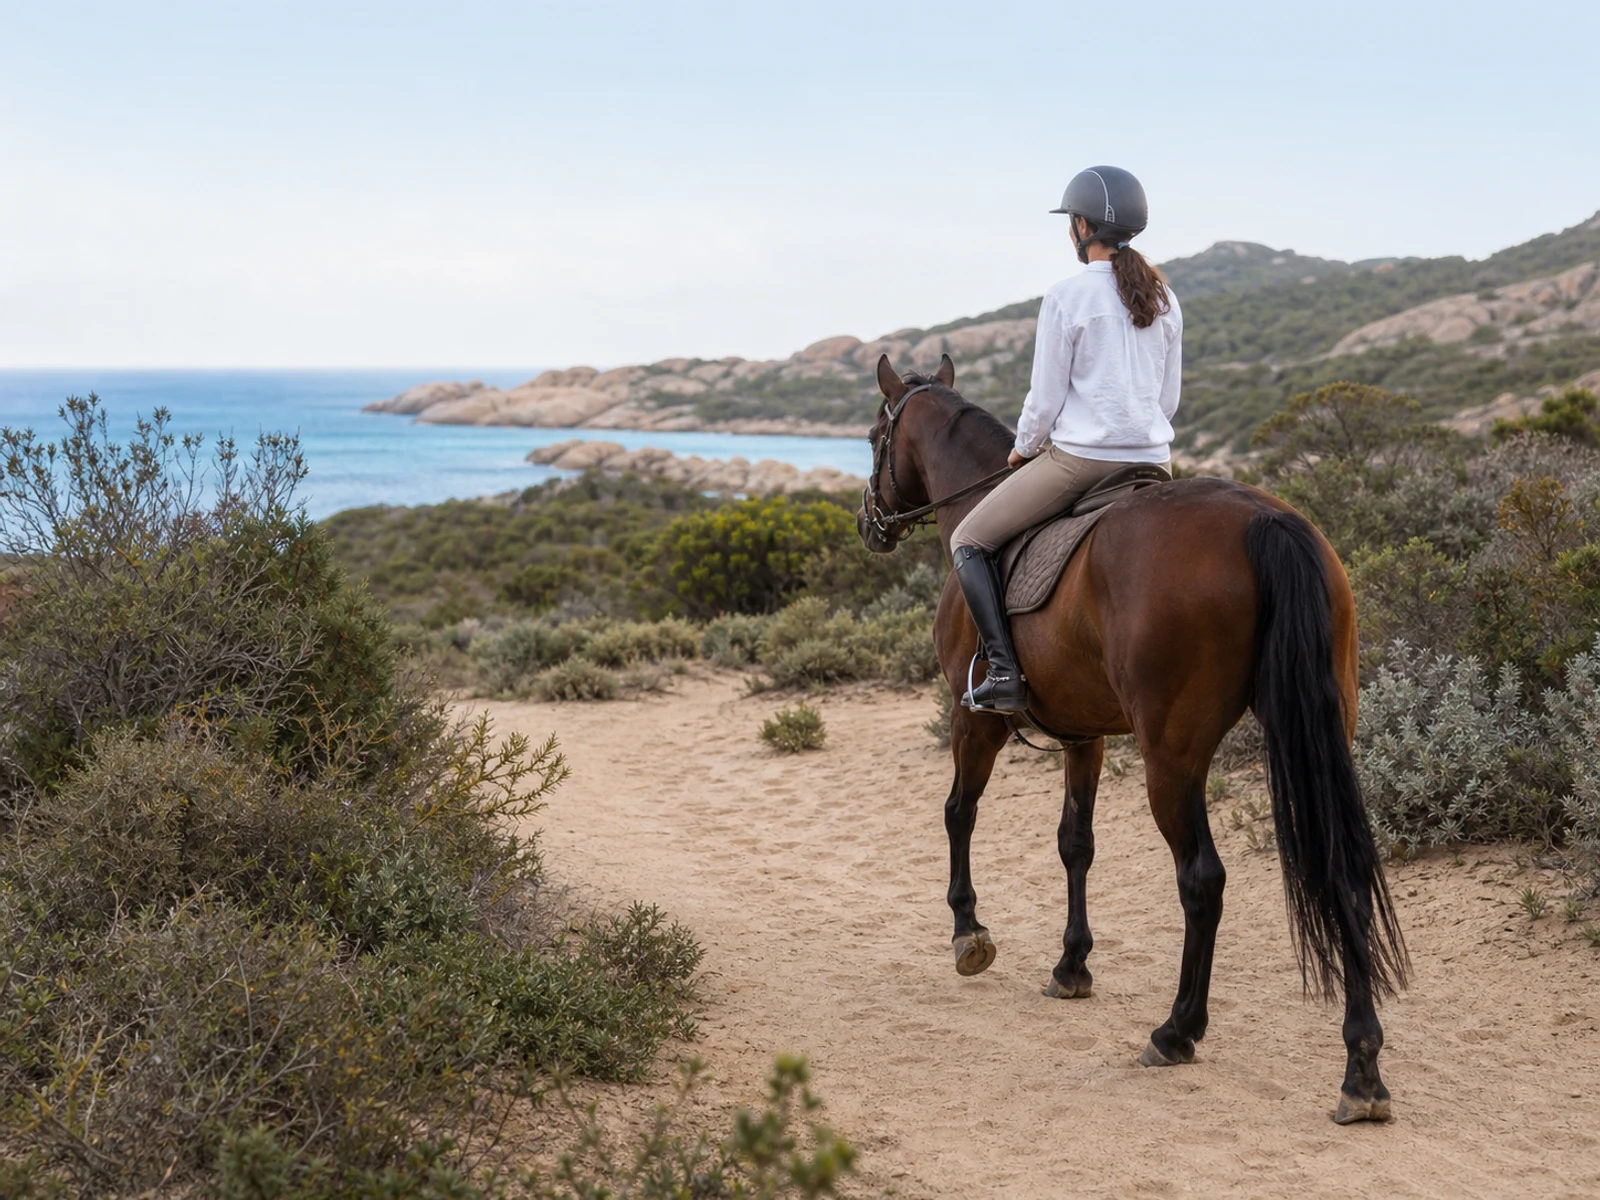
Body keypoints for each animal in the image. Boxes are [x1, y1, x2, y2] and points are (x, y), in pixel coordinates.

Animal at [855, 353, 1407, 1123]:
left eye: (872, 435)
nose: (868, 523)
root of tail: (1266, 520)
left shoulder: (976, 721)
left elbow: (958, 813)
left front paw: (969, 933)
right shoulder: (1083, 734)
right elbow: (1075, 844)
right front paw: (1072, 966)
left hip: (1170, 757)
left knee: (1203, 880)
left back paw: (1176, 1031)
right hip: (1324, 733)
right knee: (1342, 871)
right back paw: (1361, 1071)